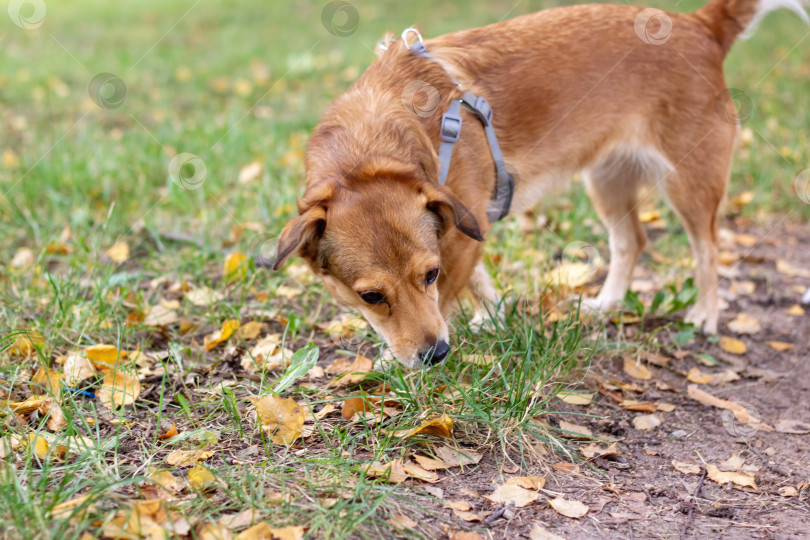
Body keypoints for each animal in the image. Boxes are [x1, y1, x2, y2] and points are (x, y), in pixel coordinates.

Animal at [274, 0, 808, 368]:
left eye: (428, 275)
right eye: (370, 297)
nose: (437, 354)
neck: (378, 147)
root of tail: (700, 24)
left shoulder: (459, 240)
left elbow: (448, 297)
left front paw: (395, 362)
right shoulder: (463, 230)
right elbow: (479, 289)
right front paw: (493, 320)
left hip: (689, 183)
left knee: (708, 247)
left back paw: (706, 315)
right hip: (606, 181)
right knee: (631, 241)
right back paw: (607, 304)